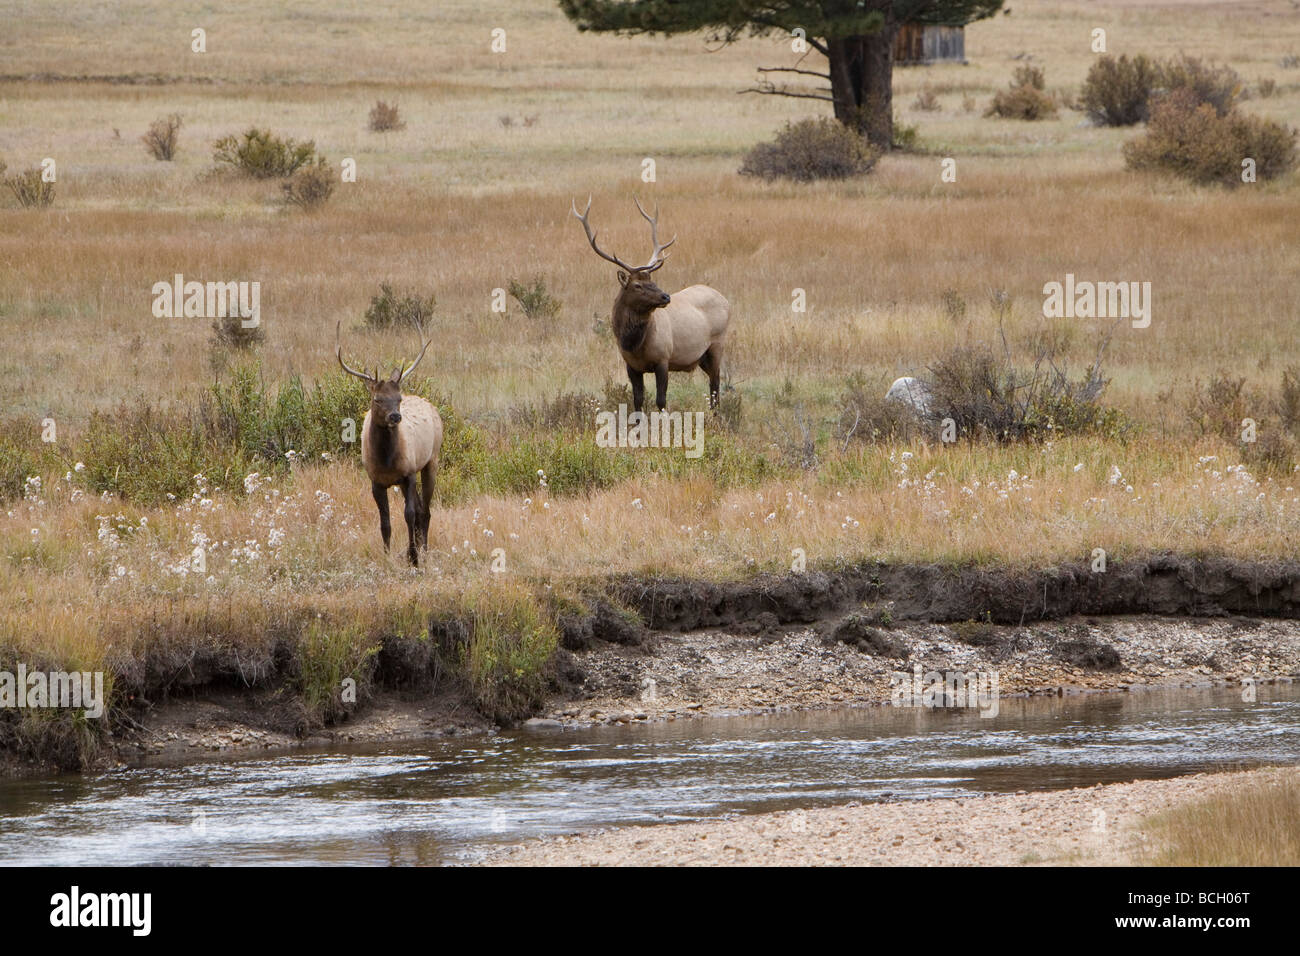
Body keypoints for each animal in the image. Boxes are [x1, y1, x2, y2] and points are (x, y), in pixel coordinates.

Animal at [336, 320, 443, 567]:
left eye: (399, 398)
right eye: (377, 399)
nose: (395, 416)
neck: (386, 461)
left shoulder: (409, 473)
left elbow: (409, 514)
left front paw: (413, 557)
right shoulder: (376, 481)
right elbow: (384, 522)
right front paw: (387, 556)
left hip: (431, 460)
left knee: (425, 510)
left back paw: (424, 550)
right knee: (421, 507)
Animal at [572, 197, 730, 413]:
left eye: (652, 280)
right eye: (637, 285)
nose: (666, 297)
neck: (634, 344)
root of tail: (726, 300)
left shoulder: (663, 359)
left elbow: (661, 401)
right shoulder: (631, 366)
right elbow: (638, 400)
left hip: (717, 344)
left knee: (715, 386)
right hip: (702, 357)